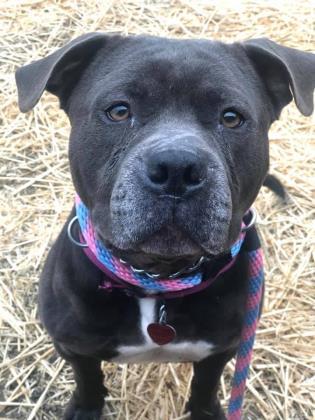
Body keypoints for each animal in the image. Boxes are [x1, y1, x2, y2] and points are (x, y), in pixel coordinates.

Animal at [15, 34, 315, 418]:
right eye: (119, 111)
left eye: (232, 117)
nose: (177, 167)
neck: (157, 280)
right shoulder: (73, 346)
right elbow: (88, 379)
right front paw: (85, 408)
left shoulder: (223, 348)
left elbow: (205, 383)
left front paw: (205, 411)